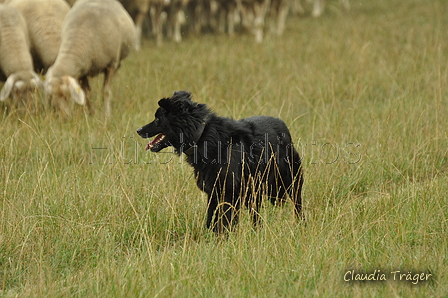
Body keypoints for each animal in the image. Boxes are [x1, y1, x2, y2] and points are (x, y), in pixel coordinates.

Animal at [136, 91, 304, 233]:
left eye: (158, 119)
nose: (138, 130)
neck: (201, 135)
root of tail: (284, 128)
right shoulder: (213, 191)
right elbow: (211, 220)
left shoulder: (230, 191)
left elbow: (226, 221)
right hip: (254, 189)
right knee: (256, 216)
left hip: (290, 181)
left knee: (297, 206)